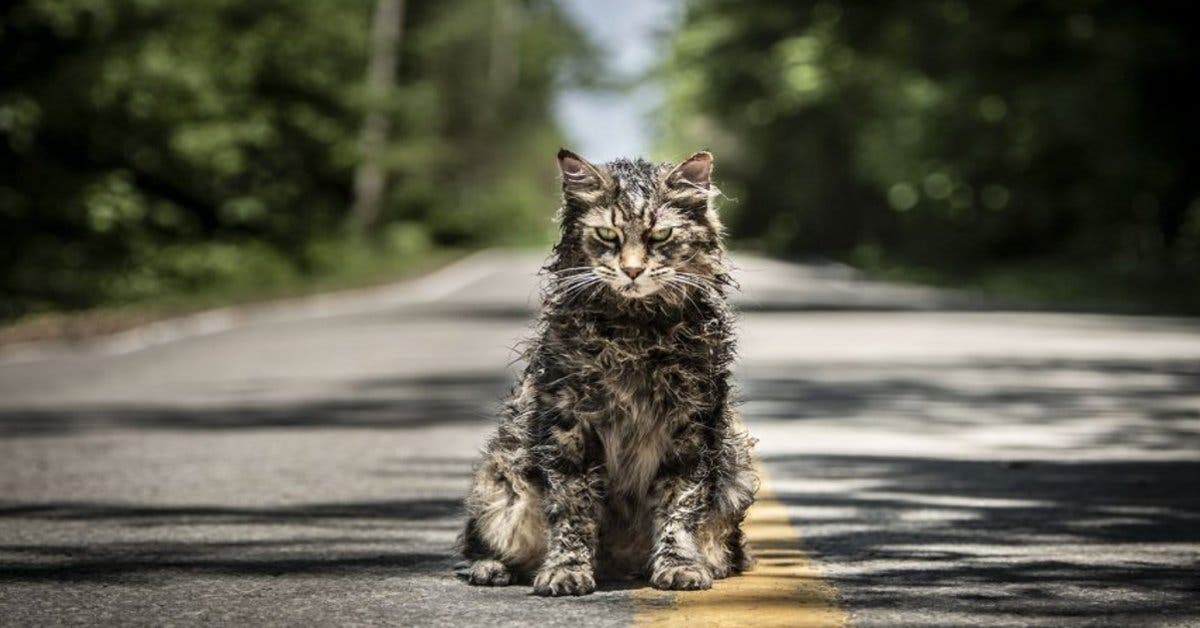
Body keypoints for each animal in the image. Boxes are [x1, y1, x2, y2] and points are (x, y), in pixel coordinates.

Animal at [458, 150, 758, 597]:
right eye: (607, 234)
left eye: (660, 236)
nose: (632, 271)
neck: (635, 333)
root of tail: (619, 565)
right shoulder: (569, 425)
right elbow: (573, 508)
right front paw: (566, 570)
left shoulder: (691, 426)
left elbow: (679, 505)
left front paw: (680, 565)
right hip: (500, 479)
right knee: (484, 542)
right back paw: (492, 568)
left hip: (736, 468)